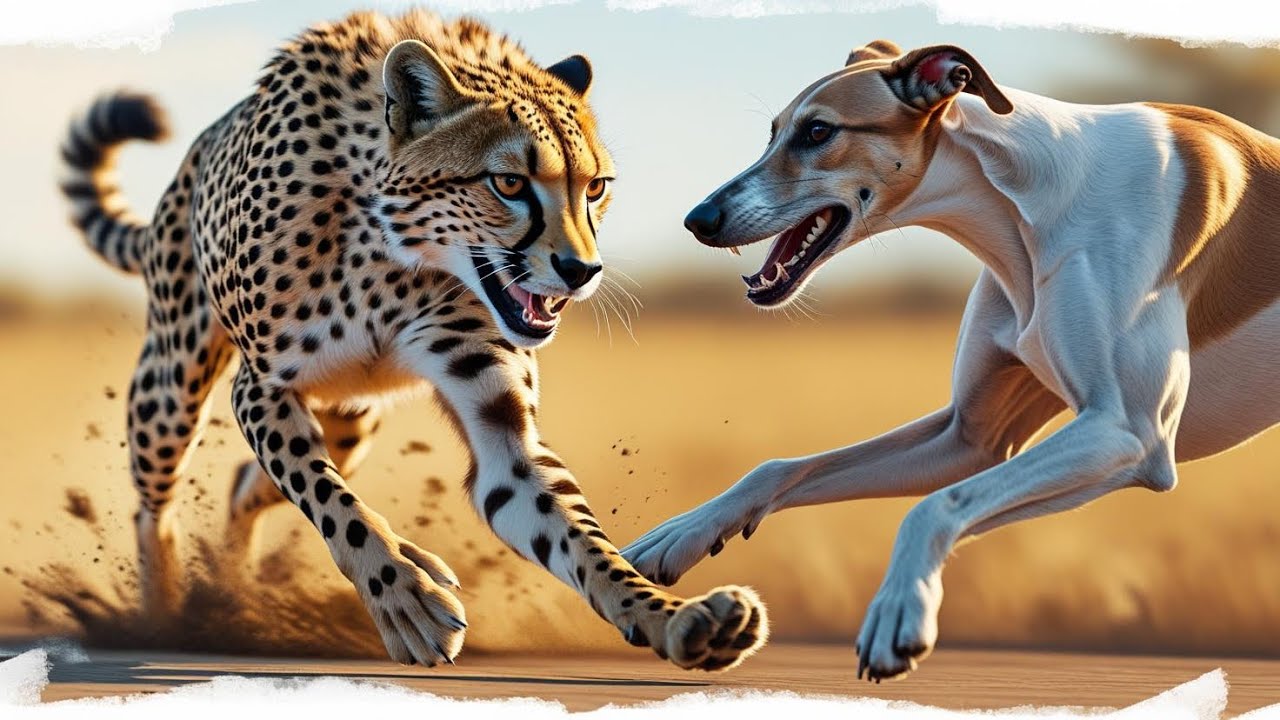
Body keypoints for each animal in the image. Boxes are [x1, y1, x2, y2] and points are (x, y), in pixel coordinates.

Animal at [58, 8, 767, 670]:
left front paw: (672, 617)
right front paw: (402, 597)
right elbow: (333, 502)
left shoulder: (500, 429)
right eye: (509, 182)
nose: (581, 271)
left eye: (594, 188)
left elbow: (580, 540)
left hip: (351, 416)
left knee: (244, 487)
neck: (396, 259)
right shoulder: (261, 387)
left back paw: (240, 587)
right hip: (173, 387)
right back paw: (169, 616)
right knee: (155, 506)